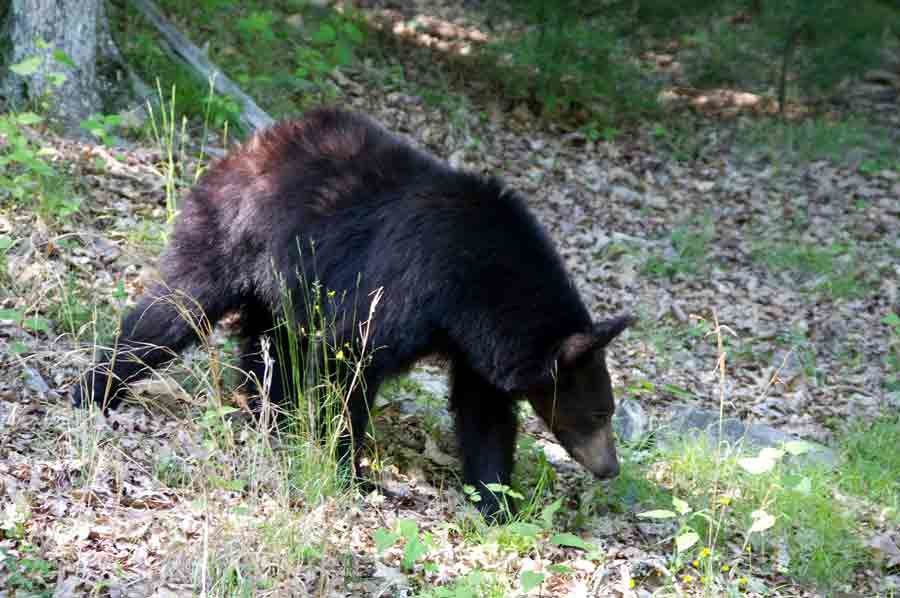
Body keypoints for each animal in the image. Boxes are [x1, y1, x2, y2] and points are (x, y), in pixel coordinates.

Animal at [74, 109, 628, 520]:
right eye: (600, 413)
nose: (612, 468)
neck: (476, 287)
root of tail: (251, 144)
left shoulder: (476, 348)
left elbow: (484, 415)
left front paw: (497, 501)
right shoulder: (403, 287)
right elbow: (350, 366)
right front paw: (350, 472)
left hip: (282, 284)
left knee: (269, 346)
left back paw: (265, 413)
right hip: (232, 234)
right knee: (175, 307)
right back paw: (97, 388)